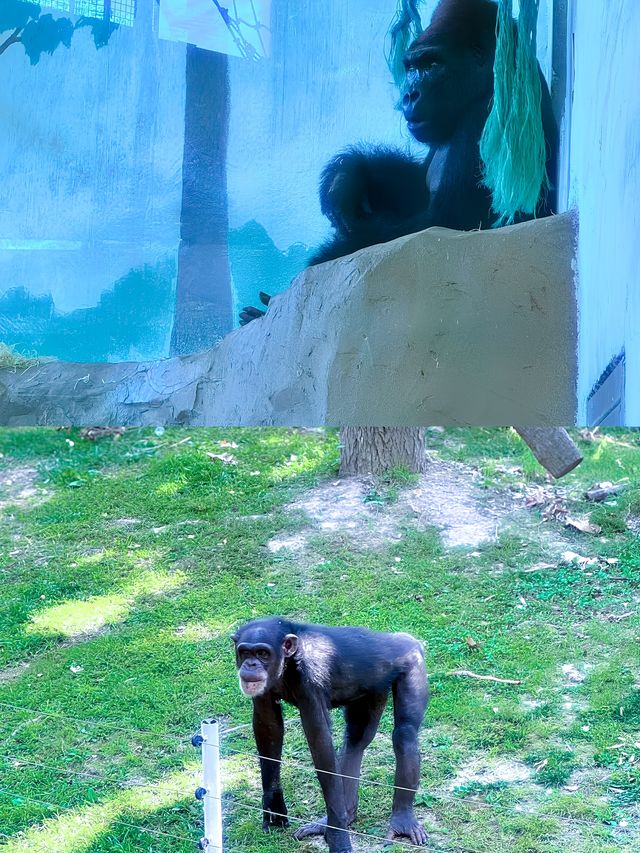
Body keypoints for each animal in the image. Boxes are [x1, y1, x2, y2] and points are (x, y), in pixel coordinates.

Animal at [232, 616, 428, 848]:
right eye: (245, 652)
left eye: (262, 653)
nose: (251, 664)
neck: (289, 662)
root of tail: (408, 639)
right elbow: (268, 727)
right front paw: (273, 805)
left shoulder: (310, 683)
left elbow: (321, 746)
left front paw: (337, 837)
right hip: (373, 690)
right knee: (356, 740)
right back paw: (344, 815)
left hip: (412, 666)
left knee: (404, 734)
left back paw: (402, 821)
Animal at [238, 0, 556, 324]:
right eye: (412, 67)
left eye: (432, 65)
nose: (409, 95)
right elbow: (413, 188)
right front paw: (348, 177)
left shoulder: (486, 119)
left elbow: (444, 221)